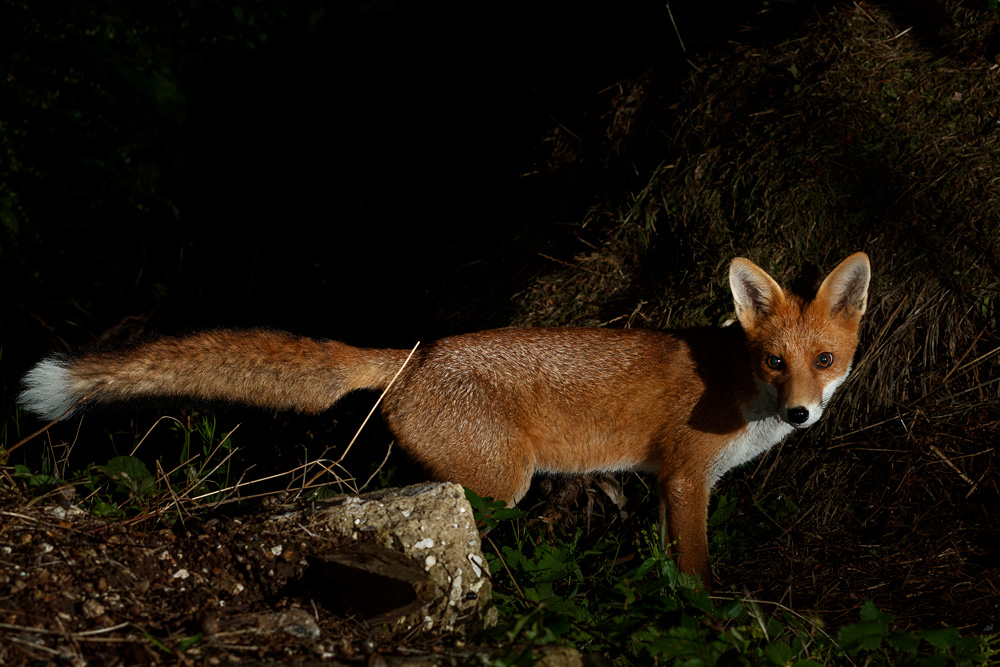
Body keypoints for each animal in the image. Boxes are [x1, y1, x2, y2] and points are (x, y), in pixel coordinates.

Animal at [18, 252, 870, 588]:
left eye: (824, 359)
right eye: (774, 361)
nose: (800, 411)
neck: (737, 386)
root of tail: (418, 351)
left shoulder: (667, 480)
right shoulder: (688, 474)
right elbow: (695, 572)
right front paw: (713, 615)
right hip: (503, 483)